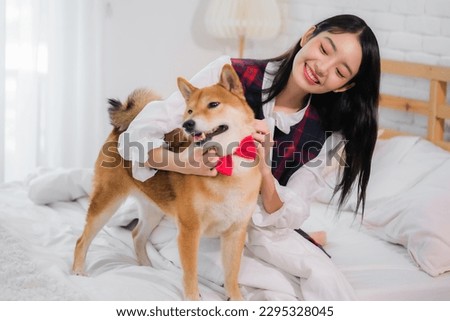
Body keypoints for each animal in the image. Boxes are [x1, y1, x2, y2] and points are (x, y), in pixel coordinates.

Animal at [71, 63, 262, 298]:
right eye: (189, 110)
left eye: (213, 104)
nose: (188, 124)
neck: (228, 165)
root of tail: (122, 130)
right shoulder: (190, 230)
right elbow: (190, 273)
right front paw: (193, 298)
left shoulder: (235, 232)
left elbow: (231, 274)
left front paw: (235, 298)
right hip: (107, 202)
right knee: (82, 240)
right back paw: (78, 271)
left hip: (153, 209)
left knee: (137, 235)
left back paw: (146, 267)